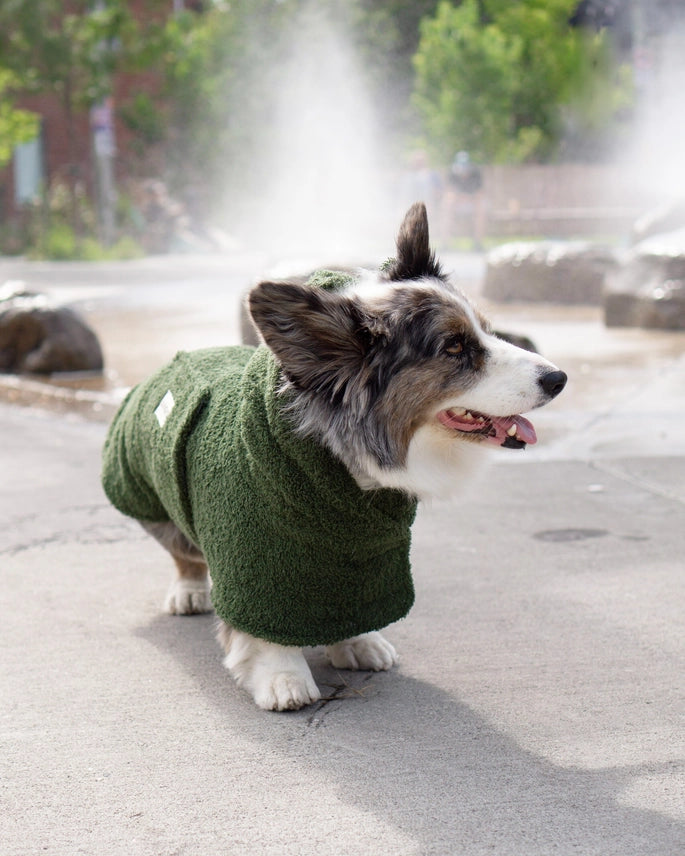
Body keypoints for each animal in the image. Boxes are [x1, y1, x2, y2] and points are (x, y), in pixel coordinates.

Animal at [103, 202, 568, 708]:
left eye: (487, 329)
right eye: (455, 346)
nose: (558, 378)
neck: (345, 463)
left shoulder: (361, 552)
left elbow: (352, 606)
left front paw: (359, 643)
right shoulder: (249, 554)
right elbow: (260, 630)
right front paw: (283, 677)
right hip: (156, 499)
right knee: (183, 550)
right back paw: (188, 592)